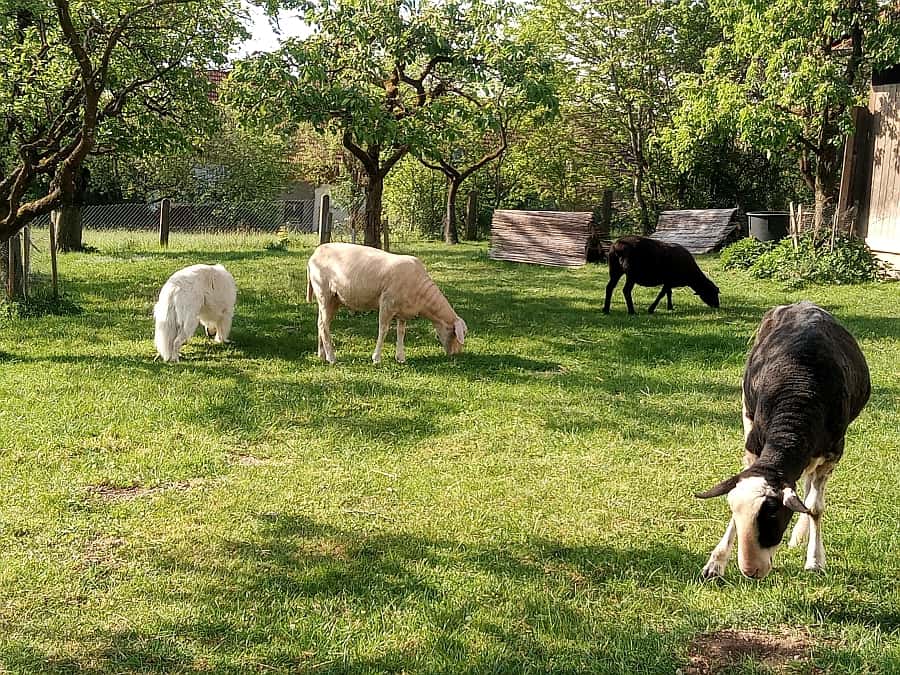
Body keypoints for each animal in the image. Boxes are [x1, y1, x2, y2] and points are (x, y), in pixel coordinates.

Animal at [306, 243, 468, 364]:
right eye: (456, 334)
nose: (456, 354)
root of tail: (316, 253)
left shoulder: (403, 311)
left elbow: (401, 332)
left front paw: (400, 357)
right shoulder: (387, 304)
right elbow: (383, 330)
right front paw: (376, 358)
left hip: (333, 299)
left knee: (320, 323)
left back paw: (322, 354)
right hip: (324, 293)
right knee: (324, 325)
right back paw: (331, 357)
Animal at [696, 302, 872, 580]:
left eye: (772, 516)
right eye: (734, 511)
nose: (750, 571)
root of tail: (803, 303)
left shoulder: (832, 454)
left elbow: (816, 507)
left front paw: (815, 561)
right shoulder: (754, 446)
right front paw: (715, 563)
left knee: (810, 494)